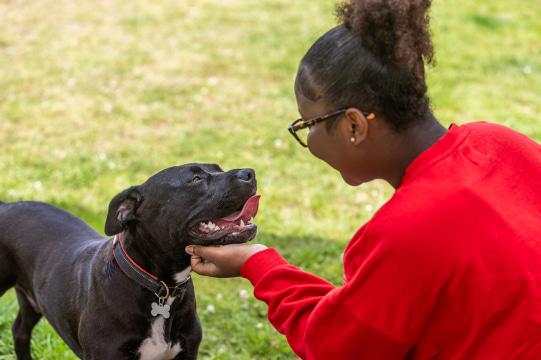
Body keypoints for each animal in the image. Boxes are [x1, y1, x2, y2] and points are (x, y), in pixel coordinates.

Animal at [0, 164, 260, 360]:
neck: (161, 286)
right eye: (195, 179)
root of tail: (7, 205)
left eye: (218, 168)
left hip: (31, 299)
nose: (249, 172)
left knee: (20, 330)